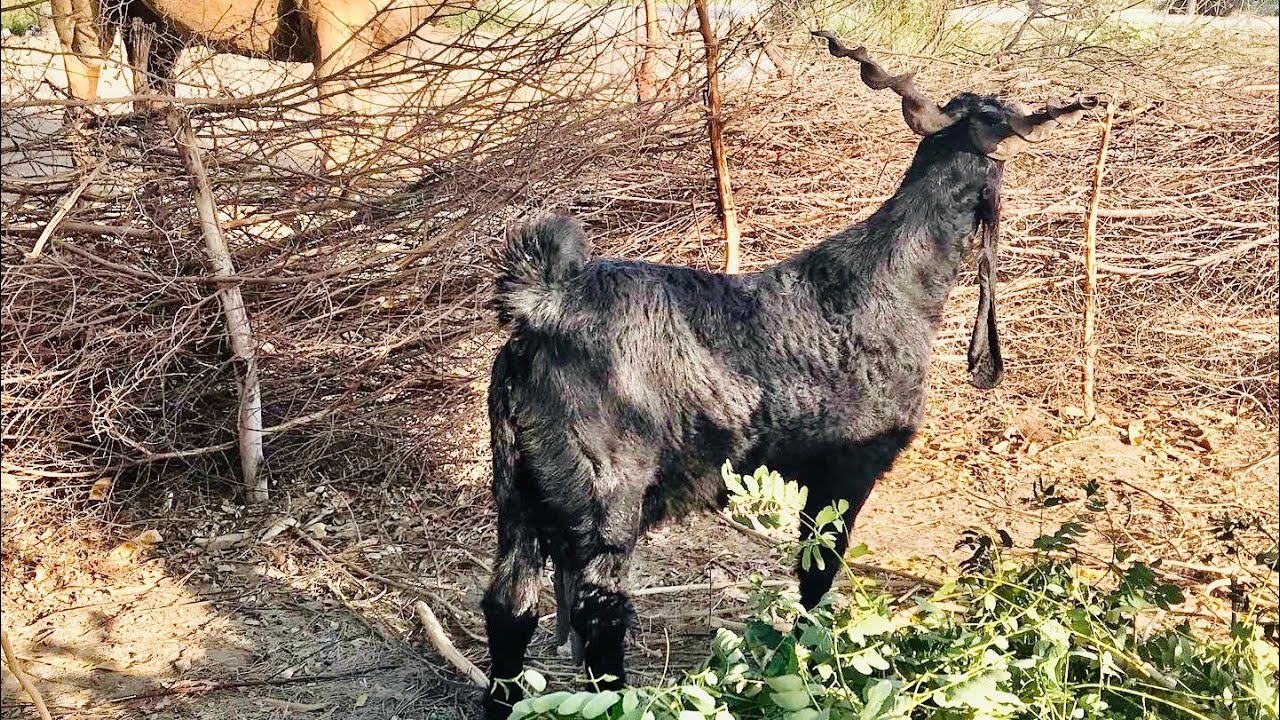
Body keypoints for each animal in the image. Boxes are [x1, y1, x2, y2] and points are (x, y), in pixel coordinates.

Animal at [480, 34, 1096, 718]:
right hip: (607, 500)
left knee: (510, 607)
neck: (895, 281)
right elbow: (815, 580)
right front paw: (812, 667)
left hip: (518, 492)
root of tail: (543, 306)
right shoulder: (846, 471)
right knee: (599, 614)